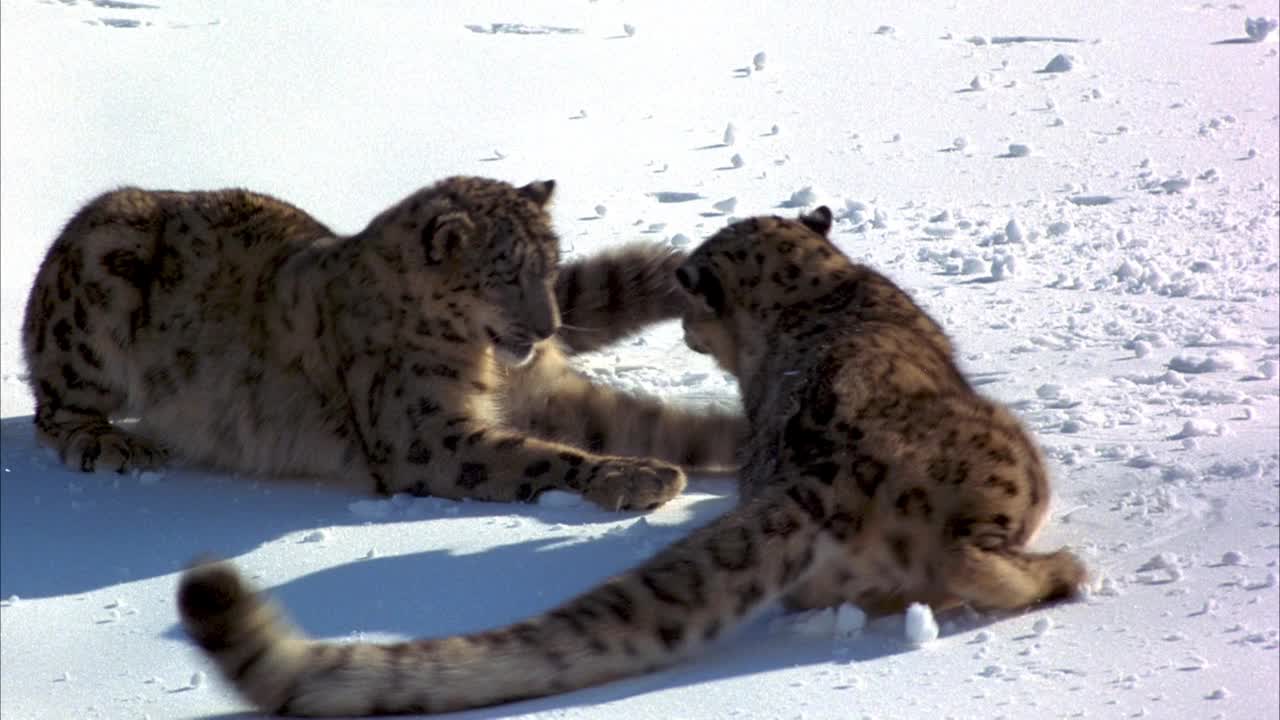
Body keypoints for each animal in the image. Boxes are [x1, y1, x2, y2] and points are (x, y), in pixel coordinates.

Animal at [20, 175, 742, 507]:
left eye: (550, 263)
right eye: (505, 273)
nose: (547, 328)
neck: (488, 365)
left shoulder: (545, 390)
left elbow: (646, 421)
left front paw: (727, 437)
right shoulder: (424, 436)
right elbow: (538, 458)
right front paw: (638, 476)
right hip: (97, 290)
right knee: (52, 410)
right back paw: (113, 443)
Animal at [175, 204, 1085, 712]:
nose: (683, 322)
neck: (813, 292)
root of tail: (821, 482)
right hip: (1013, 463)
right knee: (971, 563)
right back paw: (1064, 571)